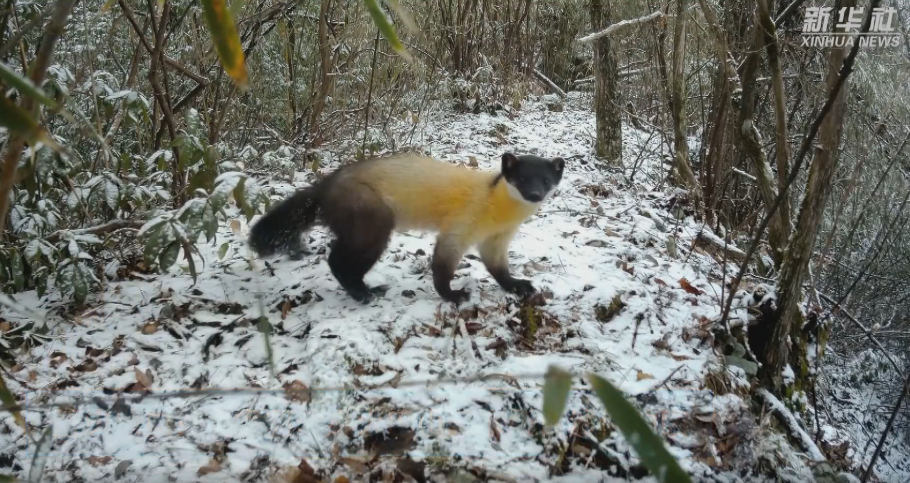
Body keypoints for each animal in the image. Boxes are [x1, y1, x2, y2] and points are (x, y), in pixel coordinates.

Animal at [248, 152, 565, 304]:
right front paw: (454, 295)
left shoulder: (496, 241)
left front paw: (520, 286)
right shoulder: (458, 229)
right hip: (372, 218)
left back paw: (370, 289)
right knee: (337, 260)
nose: (535, 194)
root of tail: (325, 185)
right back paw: (363, 294)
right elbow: (441, 267)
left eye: (546, 180)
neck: (500, 217)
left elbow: (498, 269)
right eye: (521, 178)